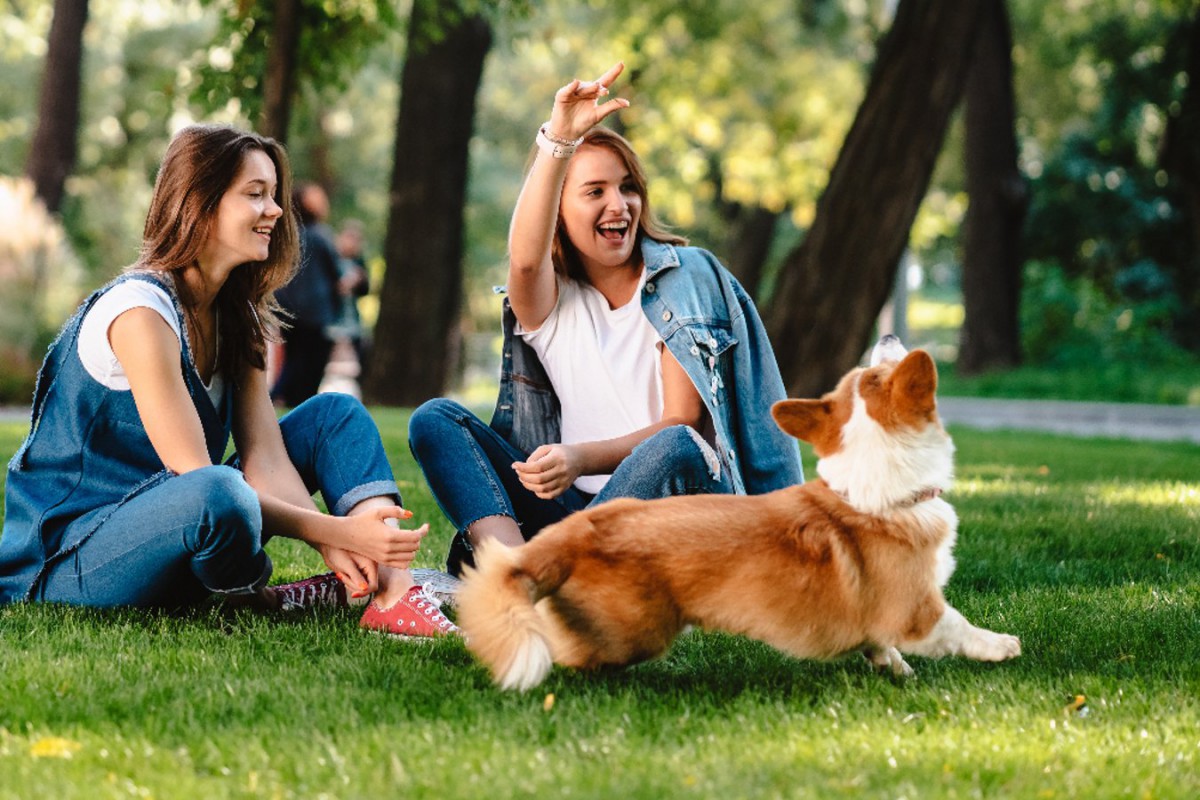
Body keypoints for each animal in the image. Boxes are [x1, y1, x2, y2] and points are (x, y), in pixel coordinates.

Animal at [458, 335, 1022, 690]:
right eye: (878, 370)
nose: (886, 332)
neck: (877, 484)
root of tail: (571, 534)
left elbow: (883, 647)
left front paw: (896, 670)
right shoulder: (917, 610)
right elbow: (957, 627)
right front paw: (1001, 646)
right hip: (635, 632)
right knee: (565, 650)